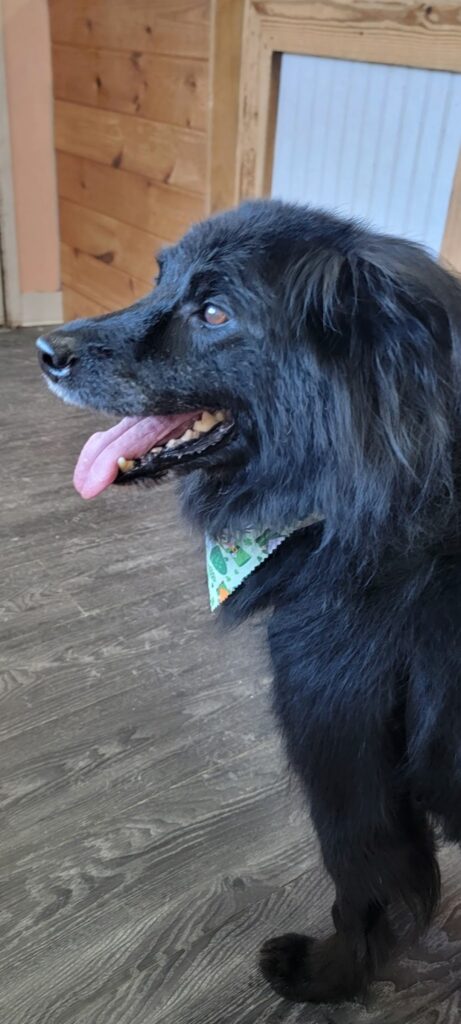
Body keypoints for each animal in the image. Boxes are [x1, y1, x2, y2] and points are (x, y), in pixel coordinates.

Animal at [37, 199, 461, 1005]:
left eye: (214, 313)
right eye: (159, 279)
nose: (46, 348)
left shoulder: (341, 750)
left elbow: (362, 889)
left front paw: (326, 977)